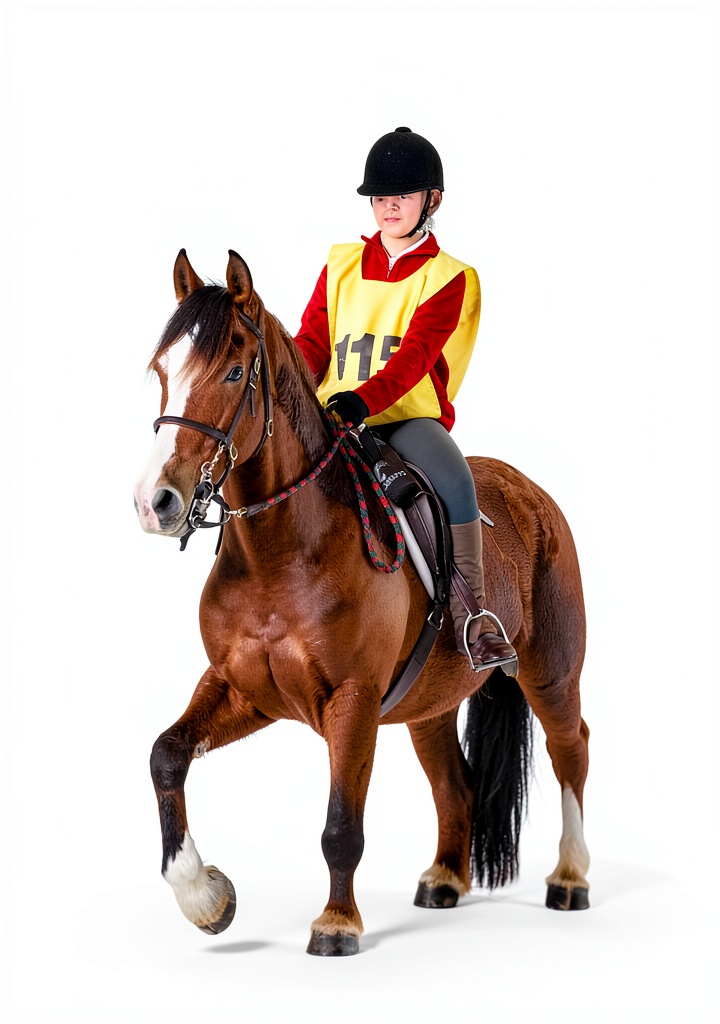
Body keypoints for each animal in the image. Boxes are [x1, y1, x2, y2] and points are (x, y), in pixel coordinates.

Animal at [134, 249, 591, 956]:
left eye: (234, 371)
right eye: (161, 371)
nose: (156, 502)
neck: (283, 548)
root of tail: (531, 493)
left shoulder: (351, 700)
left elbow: (340, 825)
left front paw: (336, 924)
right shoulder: (242, 688)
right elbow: (165, 754)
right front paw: (203, 897)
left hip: (551, 672)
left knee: (572, 750)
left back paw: (569, 878)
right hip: (430, 705)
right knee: (455, 783)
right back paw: (445, 879)